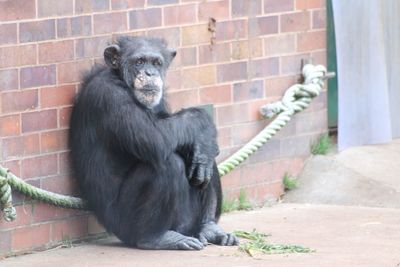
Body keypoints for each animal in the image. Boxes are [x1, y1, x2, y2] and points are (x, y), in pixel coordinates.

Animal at [68, 36, 238, 251]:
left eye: (156, 62)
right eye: (139, 61)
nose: (150, 72)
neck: (121, 79)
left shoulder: (160, 98)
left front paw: (206, 140)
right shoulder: (109, 96)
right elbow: (155, 137)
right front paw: (203, 122)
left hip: (186, 222)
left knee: (200, 157)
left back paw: (209, 227)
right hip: (125, 225)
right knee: (168, 164)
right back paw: (157, 237)